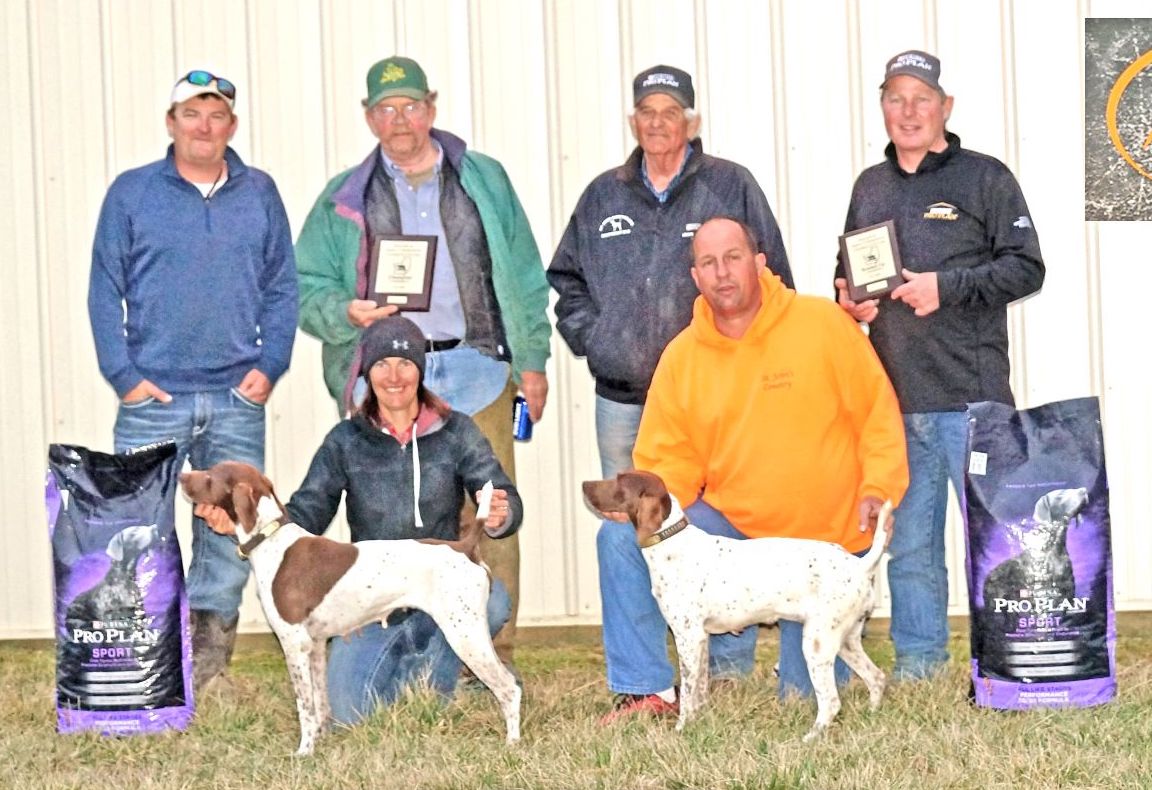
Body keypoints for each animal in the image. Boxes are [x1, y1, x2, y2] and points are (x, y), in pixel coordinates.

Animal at [179, 460, 523, 760]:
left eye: (209, 476)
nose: (182, 476)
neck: (271, 539)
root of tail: (464, 546)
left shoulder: (294, 643)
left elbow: (305, 706)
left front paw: (304, 752)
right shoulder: (316, 645)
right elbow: (320, 705)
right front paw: (319, 742)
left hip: (465, 634)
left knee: (509, 687)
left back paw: (512, 743)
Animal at [585, 469, 889, 741]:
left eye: (620, 481)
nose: (584, 484)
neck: (672, 543)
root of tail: (860, 565)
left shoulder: (687, 637)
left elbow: (688, 693)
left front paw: (681, 729)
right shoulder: (702, 639)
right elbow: (699, 691)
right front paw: (700, 721)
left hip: (817, 644)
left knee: (831, 701)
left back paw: (810, 738)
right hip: (846, 640)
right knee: (876, 677)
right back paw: (872, 716)